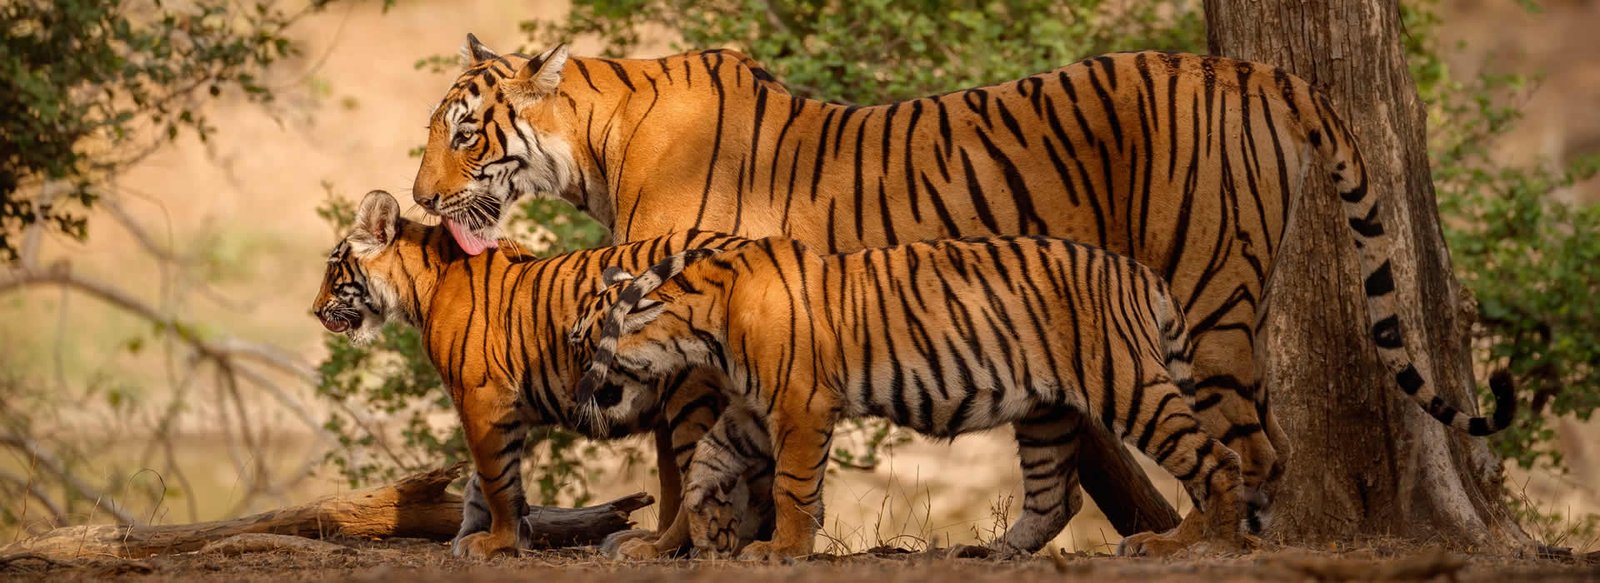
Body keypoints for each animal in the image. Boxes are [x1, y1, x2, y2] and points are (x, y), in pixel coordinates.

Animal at [308, 189, 773, 558]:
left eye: (333, 268)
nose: (314, 310)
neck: (421, 286)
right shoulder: (502, 407)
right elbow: (486, 482)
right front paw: (491, 536)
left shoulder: (482, 396)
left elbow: (496, 479)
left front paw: (495, 542)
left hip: (690, 396)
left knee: (700, 481)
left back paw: (655, 549)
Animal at [566, 235, 1262, 559]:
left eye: (580, 342)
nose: (576, 398)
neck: (701, 329)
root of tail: (1144, 273)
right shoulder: (752, 411)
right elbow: (704, 467)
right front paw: (686, 540)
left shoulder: (799, 406)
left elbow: (792, 487)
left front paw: (780, 550)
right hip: (1046, 413)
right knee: (1054, 497)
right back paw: (986, 552)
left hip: (1128, 383)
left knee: (1218, 459)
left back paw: (1202, 545)